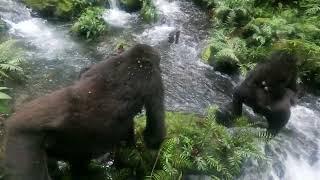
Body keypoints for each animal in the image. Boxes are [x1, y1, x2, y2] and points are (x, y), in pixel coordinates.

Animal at [3, 44, 166, 180]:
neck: (136, 61)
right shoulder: (154, 80)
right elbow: (155, 127)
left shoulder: (103, 65)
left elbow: (84, 72)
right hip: (22, 142)